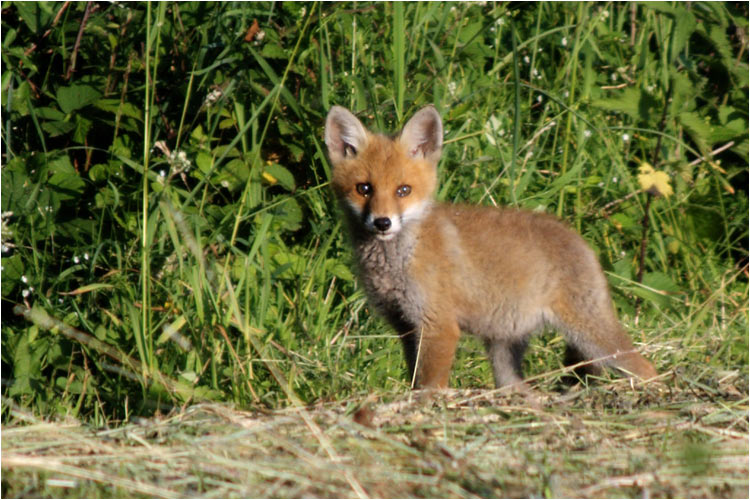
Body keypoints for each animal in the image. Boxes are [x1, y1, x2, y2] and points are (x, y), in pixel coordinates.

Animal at [324, 104, 658, 392]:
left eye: (403, 190)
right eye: (364, 188)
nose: (383, 223)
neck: (398, 260)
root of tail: (579, 237)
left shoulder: (439, 325)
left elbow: (430, 386)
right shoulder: (404, 325)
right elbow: (414, 381)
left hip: (592, 337)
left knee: (646, 368)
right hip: (504, 350)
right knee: (521, 388)